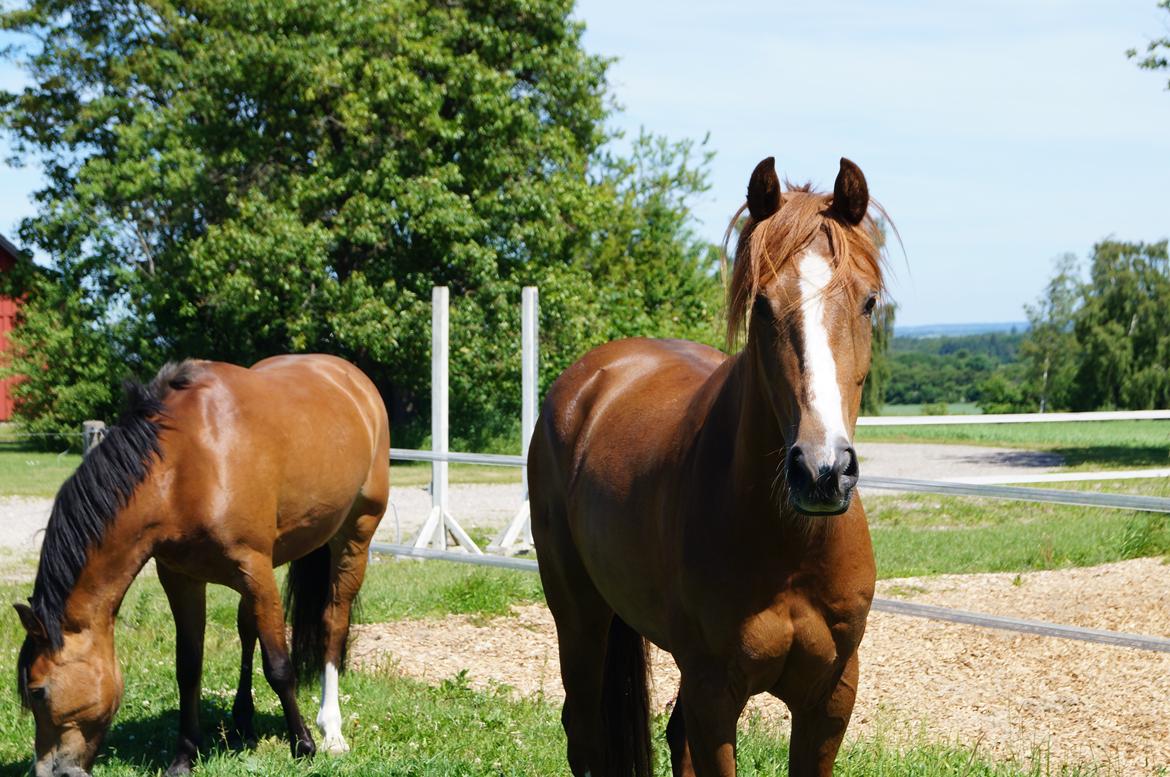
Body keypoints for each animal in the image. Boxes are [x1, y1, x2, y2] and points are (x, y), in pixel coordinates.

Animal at [14, 355, 388, 777]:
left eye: (37, 691)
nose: (46, 771)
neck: (184, 464)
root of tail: (351, 378)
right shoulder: (182, 578)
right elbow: (189, 668)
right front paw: (184, 756)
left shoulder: (254, 568)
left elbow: (279, 665)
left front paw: (303, 744)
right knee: (248, 629)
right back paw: (243, 719)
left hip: (354, 535)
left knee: (333, 623)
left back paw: (331, 730)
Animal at [533, 157, 884, 777]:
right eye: (761, 305)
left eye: (867, 302)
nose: (821, 471)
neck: (790, 549)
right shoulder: (716, 693)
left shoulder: (831, 696)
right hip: (579, 616)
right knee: (584, 733)